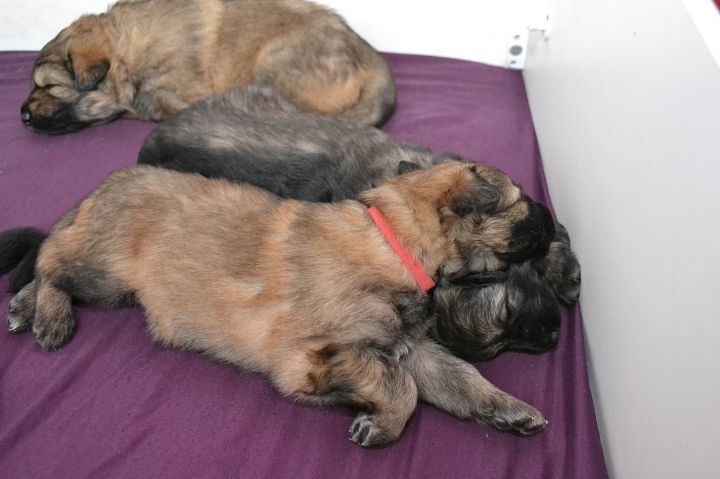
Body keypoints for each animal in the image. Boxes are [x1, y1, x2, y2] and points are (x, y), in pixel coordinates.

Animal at [2, 161, 555, 446]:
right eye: (523, 204)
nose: (554, 220)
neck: (394, 241)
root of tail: (107, 183)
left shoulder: (413, 348)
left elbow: (461, 379)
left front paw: (510, 410)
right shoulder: (313, 354)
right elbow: (404, 390)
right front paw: (379, 423)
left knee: (49, 257)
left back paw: (25, 308)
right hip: (105, 271)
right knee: (49, 260)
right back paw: (47, 314)